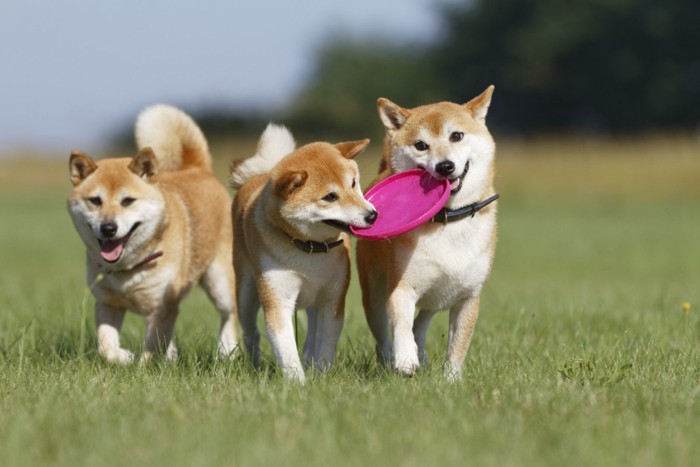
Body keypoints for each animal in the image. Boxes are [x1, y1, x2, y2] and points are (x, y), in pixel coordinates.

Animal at [67, 105, 239, 366]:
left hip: (219, 281)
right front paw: (124, 357)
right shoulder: (107, 303)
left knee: (230, 315)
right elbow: (106, 348)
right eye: (95, 201)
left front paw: (143, 368)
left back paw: (226, 352)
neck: (128, 269)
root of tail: (197, 169)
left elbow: (151, 350)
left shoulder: (162, 306)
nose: (108, 228)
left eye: (128, 201)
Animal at [231, 124, 378, 384]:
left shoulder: (332, 299)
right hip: (246, 294)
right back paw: (255, 365)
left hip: (314, 298)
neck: (310, 249)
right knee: (251, 333)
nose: (371, 215)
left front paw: (322, 374)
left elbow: (325, 345)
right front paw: (297, 383)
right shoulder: (278, 299)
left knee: (312, 332)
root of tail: (258, 175)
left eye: (353, 183)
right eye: (330, 197)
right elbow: (286, 348)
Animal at [358, 86, 500, 382]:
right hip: (374, 297)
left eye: (456, 135)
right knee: (384, 337)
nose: (445, 166)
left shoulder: (468, 297)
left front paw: (452, 380)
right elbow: (401, 326)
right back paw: (390, 363)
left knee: (421, 324)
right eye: (421, 145)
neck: (447, 221)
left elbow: (457, 346)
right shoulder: (402, 287)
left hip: (436, 297)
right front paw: (405, 360)